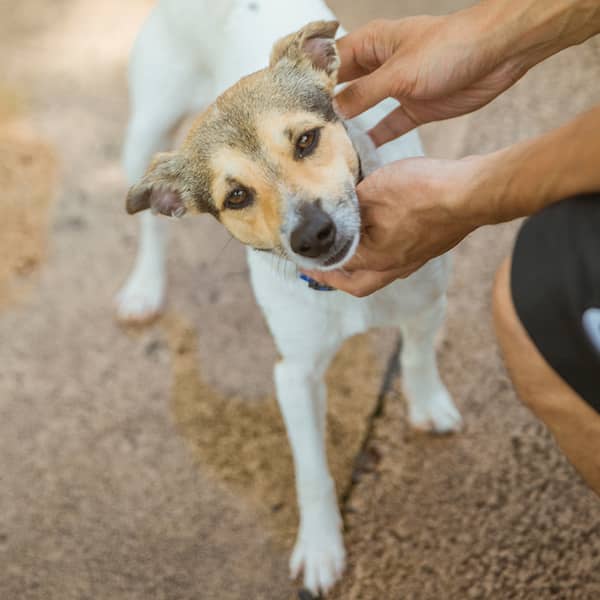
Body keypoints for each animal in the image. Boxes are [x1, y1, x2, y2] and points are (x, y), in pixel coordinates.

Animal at [118, 0, 464, 592]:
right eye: (236, 195)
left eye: (305, 141)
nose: (313, 235)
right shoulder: (295, 375)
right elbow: (312, 472)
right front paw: (321, 547)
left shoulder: (425, 299)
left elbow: (418, 358)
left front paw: (427, 405)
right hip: (145, 135)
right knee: (151, 228)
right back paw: (144, 287)